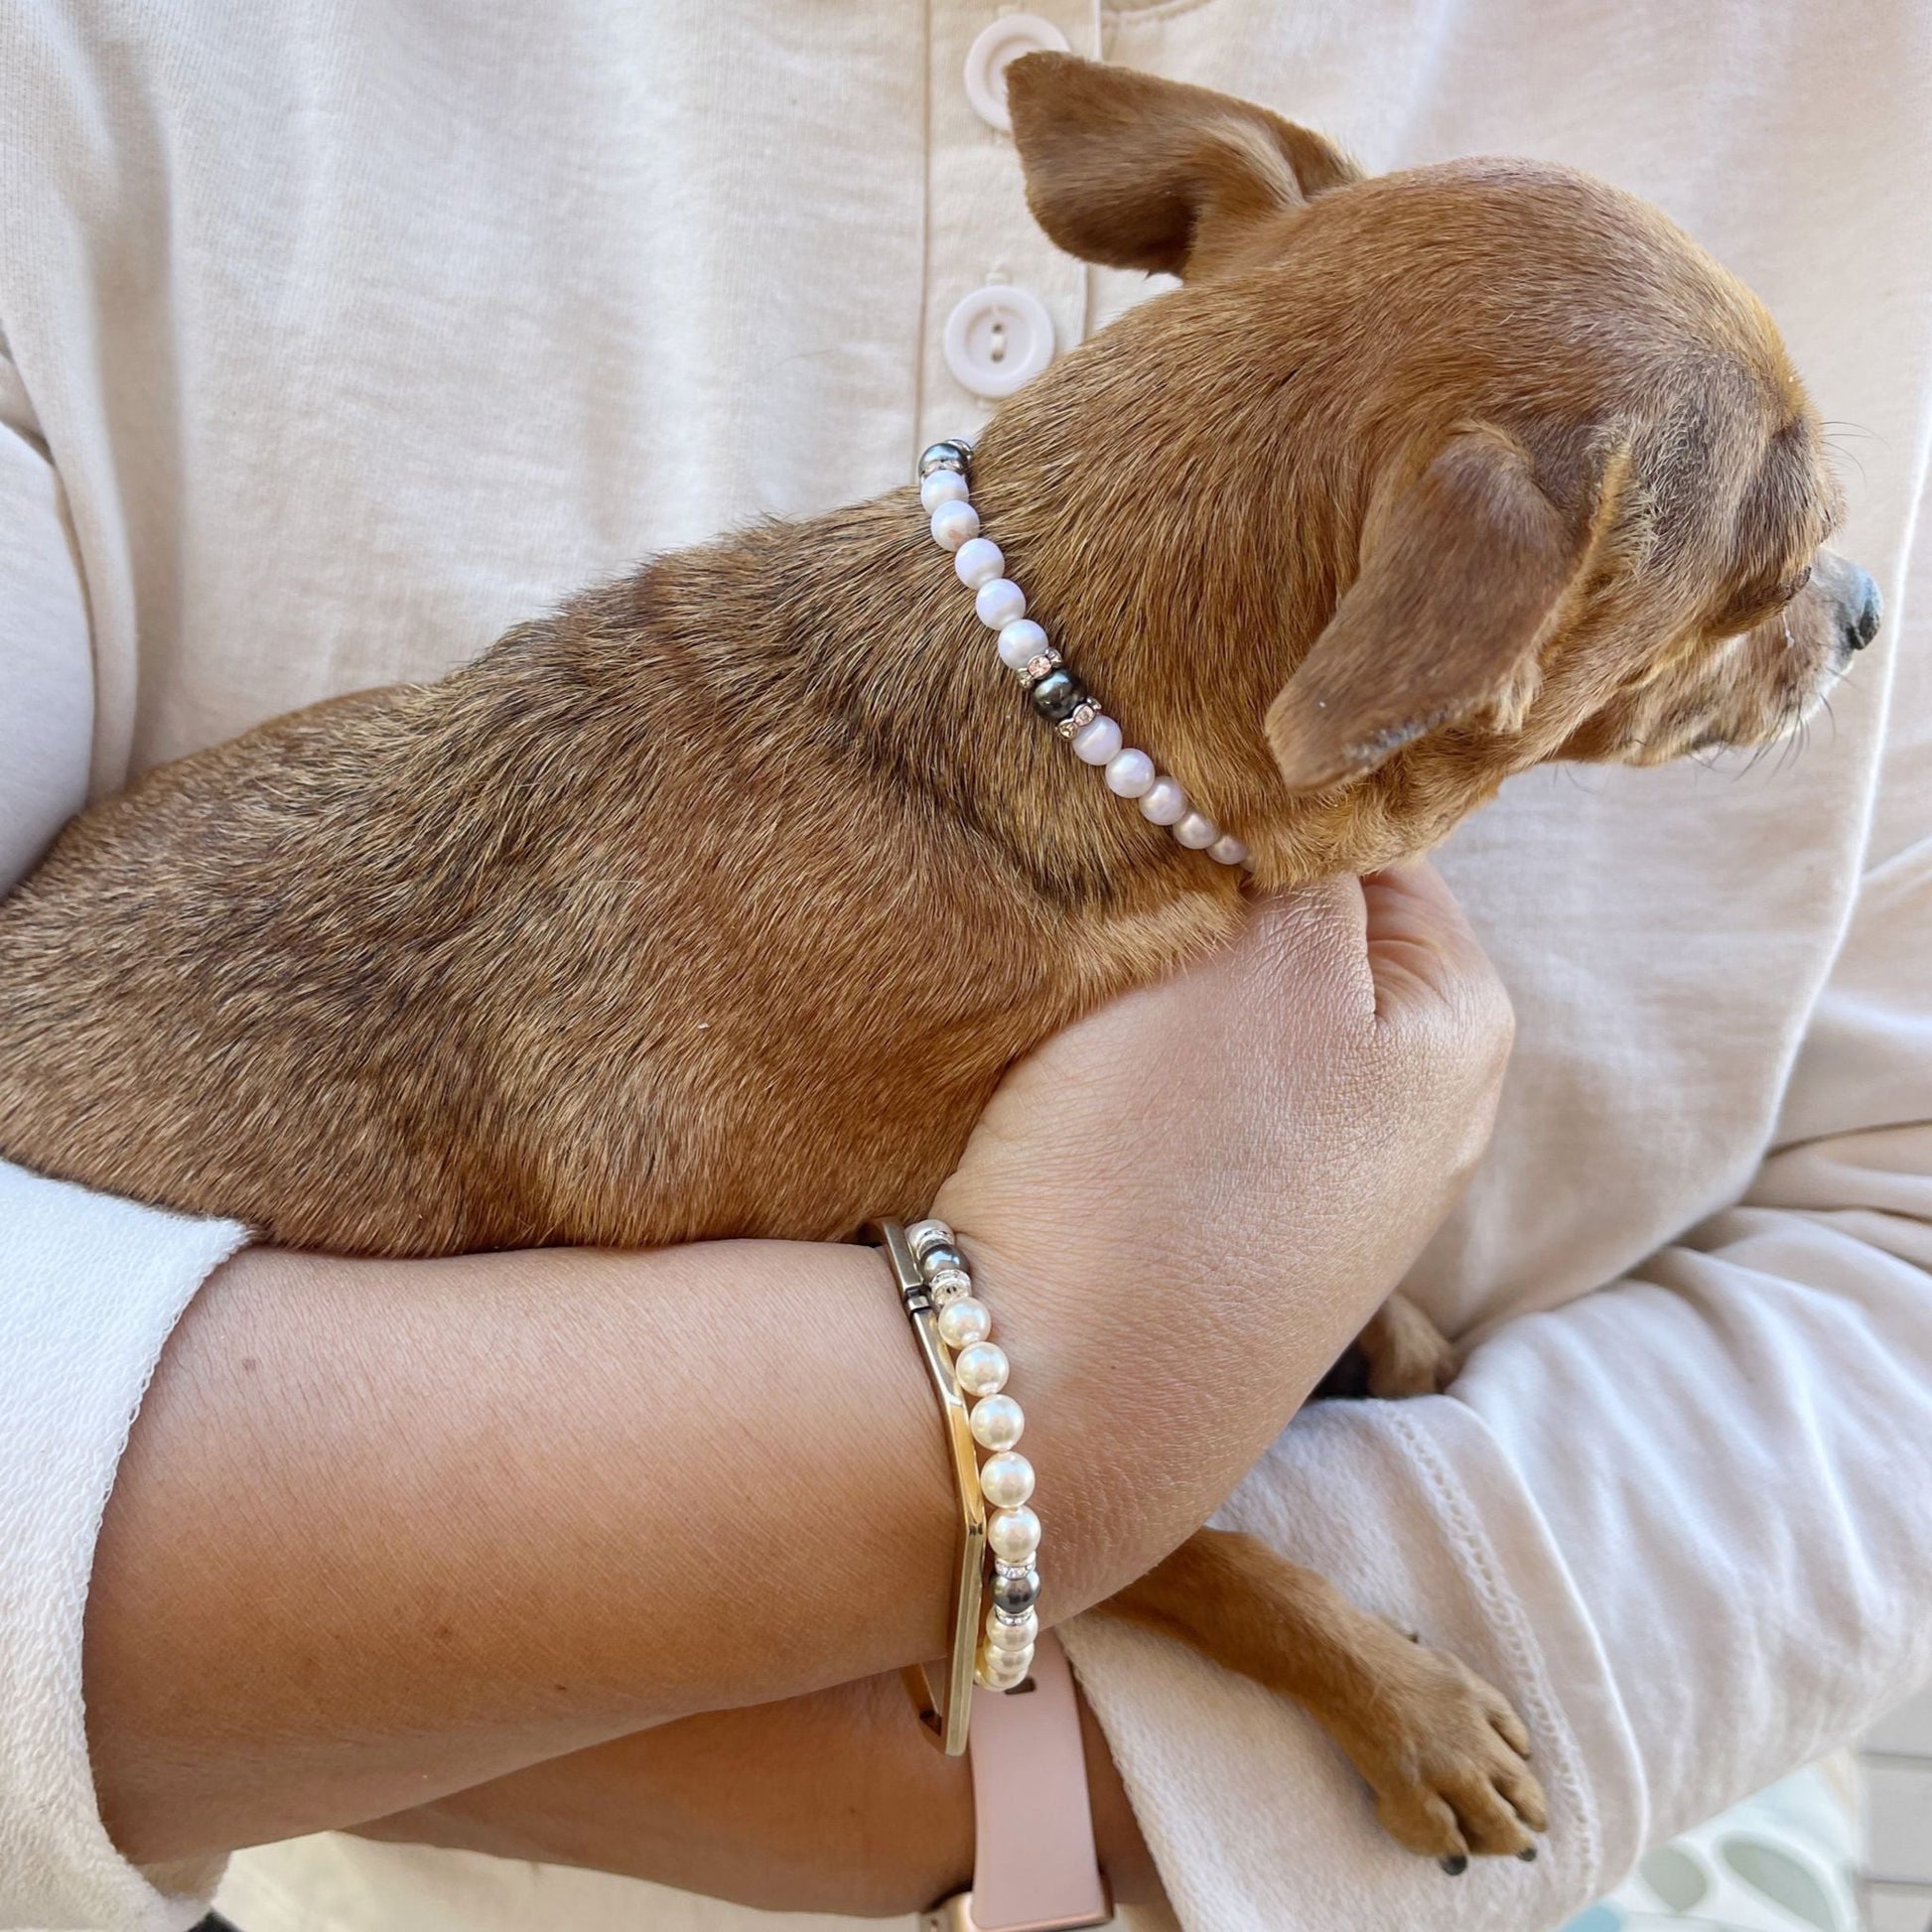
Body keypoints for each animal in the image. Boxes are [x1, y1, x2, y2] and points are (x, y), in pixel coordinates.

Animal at [0, 56, 1877, 1869]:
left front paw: (1391, 1330)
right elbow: (1182, 1544)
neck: (1036, 720)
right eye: (1770, 559)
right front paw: (1395, 1702)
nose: (1864, 608)